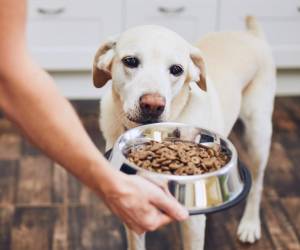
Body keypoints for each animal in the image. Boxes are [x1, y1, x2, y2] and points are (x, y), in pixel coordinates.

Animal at [92, 16, 276, 250]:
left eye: (177, 69)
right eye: (130, 61)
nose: (152, 105)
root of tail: (251, 34)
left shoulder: (193, 224)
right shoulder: (133, 210)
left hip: (258, 135)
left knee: (258, 183)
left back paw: (250, 225)